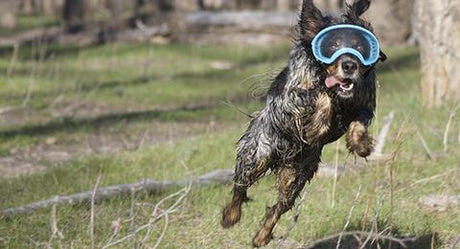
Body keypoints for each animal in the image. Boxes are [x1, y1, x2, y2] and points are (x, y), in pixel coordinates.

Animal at [221, 0, 386, 247]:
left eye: (360, 45)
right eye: (332, 44)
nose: (349, 65)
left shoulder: (364, 105)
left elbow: (358, 122)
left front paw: (361, 145)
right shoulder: (288, 102)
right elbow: (321, 97)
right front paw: (318, 123)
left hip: (298, 174)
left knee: (280, 205)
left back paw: (262, 235)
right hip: (258, 154)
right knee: (240, 187)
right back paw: (230, 216)